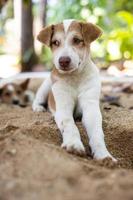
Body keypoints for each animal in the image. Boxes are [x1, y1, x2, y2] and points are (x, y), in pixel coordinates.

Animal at [32, 19, 116, 161]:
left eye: (76, 40)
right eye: (55, 42)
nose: (63, 61)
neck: (74, 78)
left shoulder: (91, 108)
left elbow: (97, 132)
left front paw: (104, 155)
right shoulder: (63, 107)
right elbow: (69, 125)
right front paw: (73, 144)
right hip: (47, 84)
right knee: (38, 98)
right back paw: (38, 108)